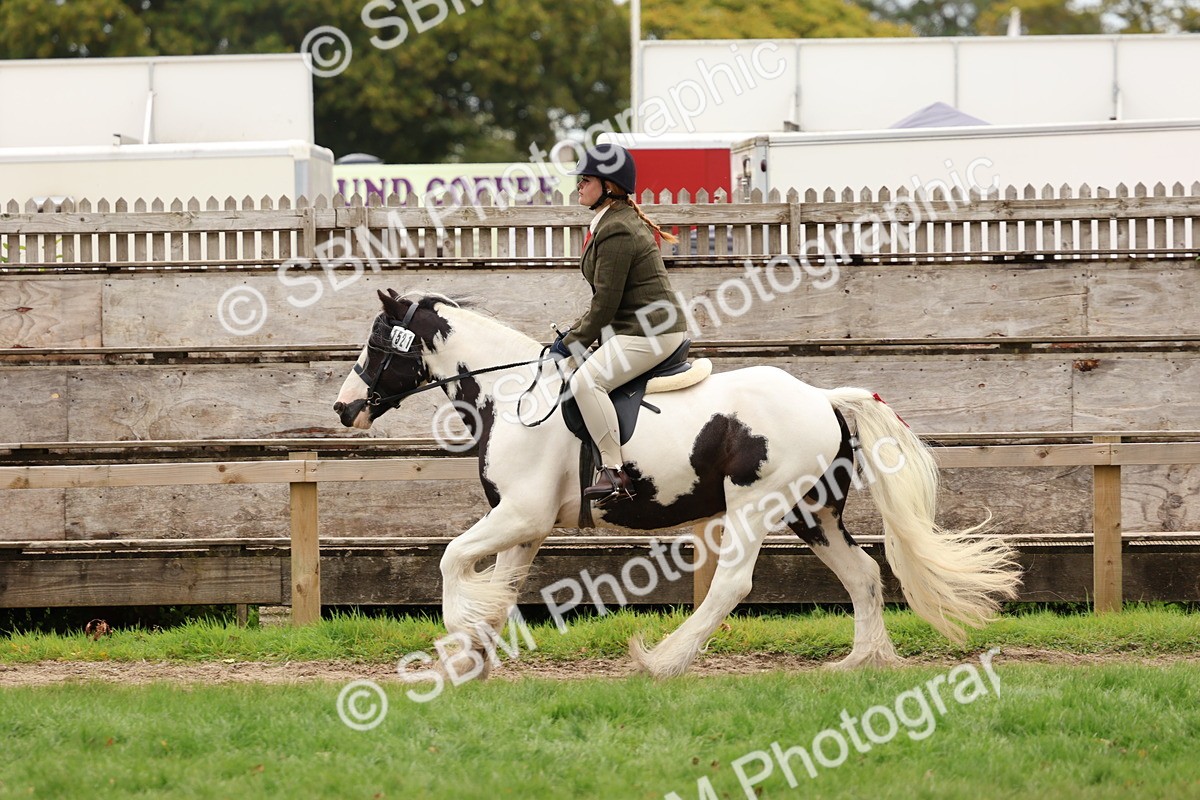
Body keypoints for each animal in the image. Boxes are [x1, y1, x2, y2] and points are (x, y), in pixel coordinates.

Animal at [333, 289, 1021, 679]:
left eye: (376, 340)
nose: (343, 409)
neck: (511, 393)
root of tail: (823, 397)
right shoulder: (524, 528)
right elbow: (499, 591)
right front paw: (470, 659)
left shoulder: (521, 516)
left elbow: (452, 562)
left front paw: (455, 648)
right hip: (813, 513)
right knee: (864, 574)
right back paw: (862, 661)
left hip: (755, 507)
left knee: (732, 585)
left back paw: (663, 661)